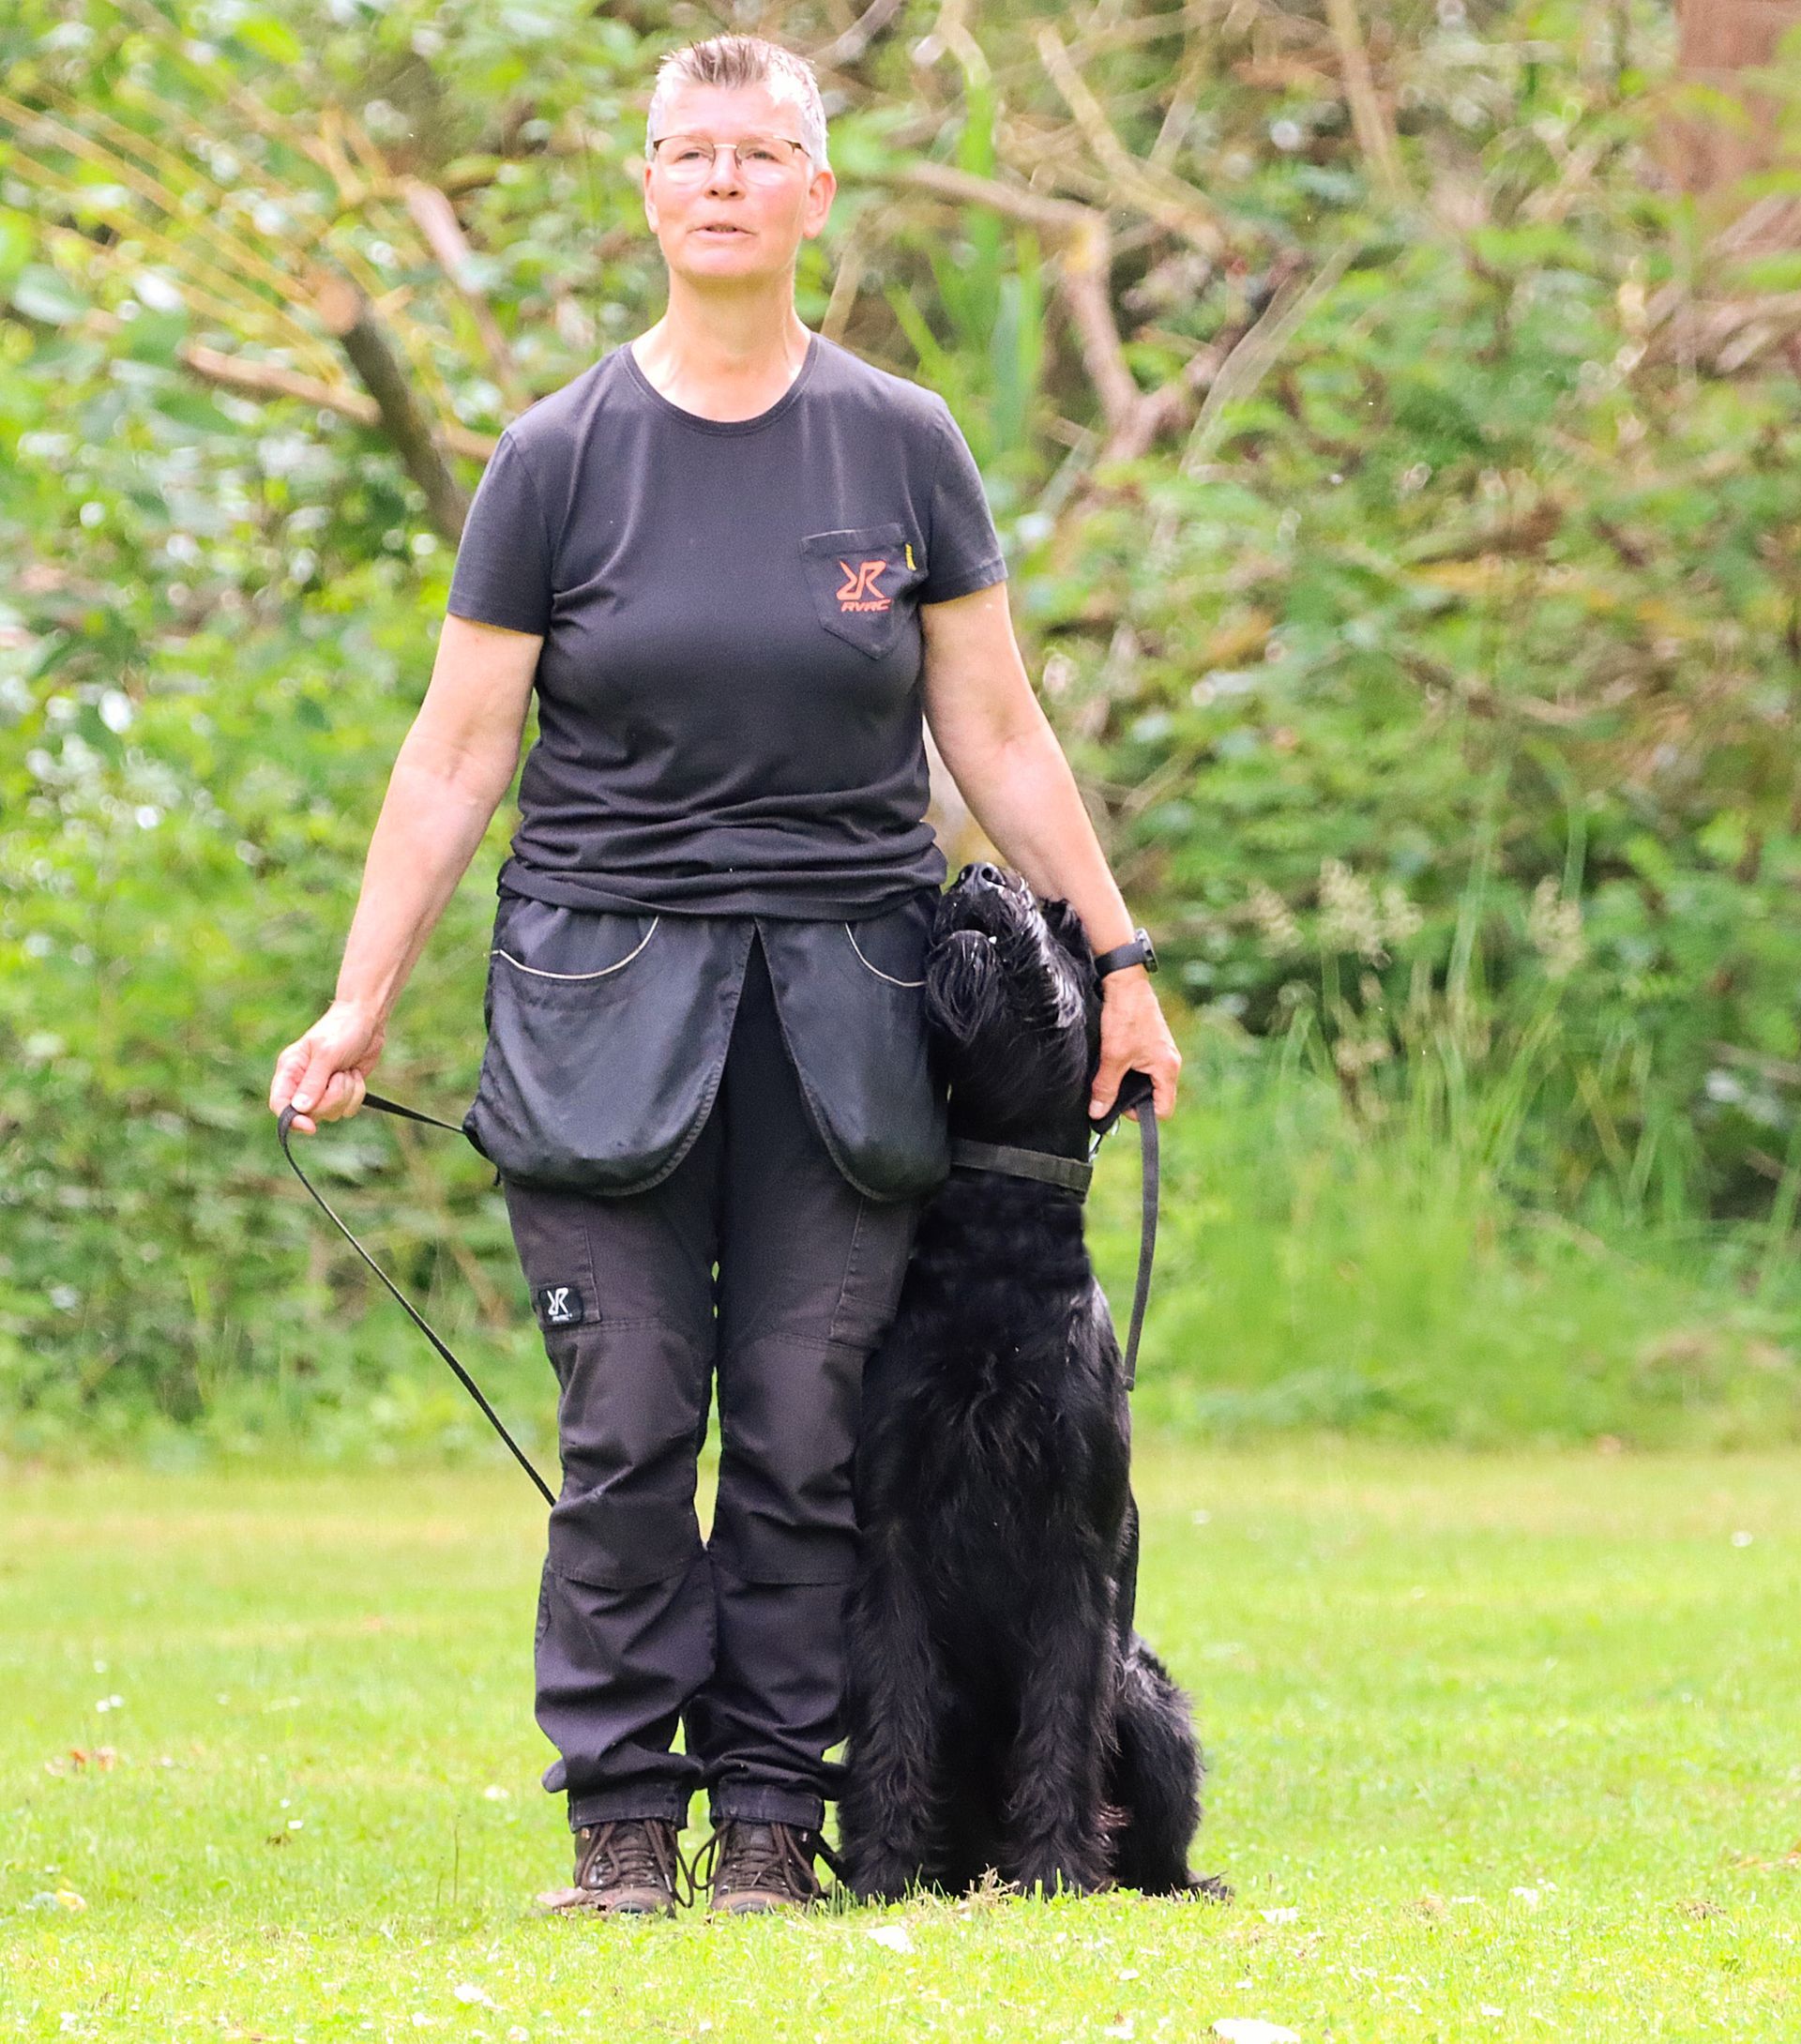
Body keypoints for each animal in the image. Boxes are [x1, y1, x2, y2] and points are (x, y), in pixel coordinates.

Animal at [837, 860, 1228, 1903]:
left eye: (1068, 927)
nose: (977, 871)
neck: (995, 1235)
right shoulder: (892, 1535)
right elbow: (892, 1714)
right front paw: (882, 1869)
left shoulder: (1072, 1547)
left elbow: (1059, 1715)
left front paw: (1054, 1865)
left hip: (1150, 1699)